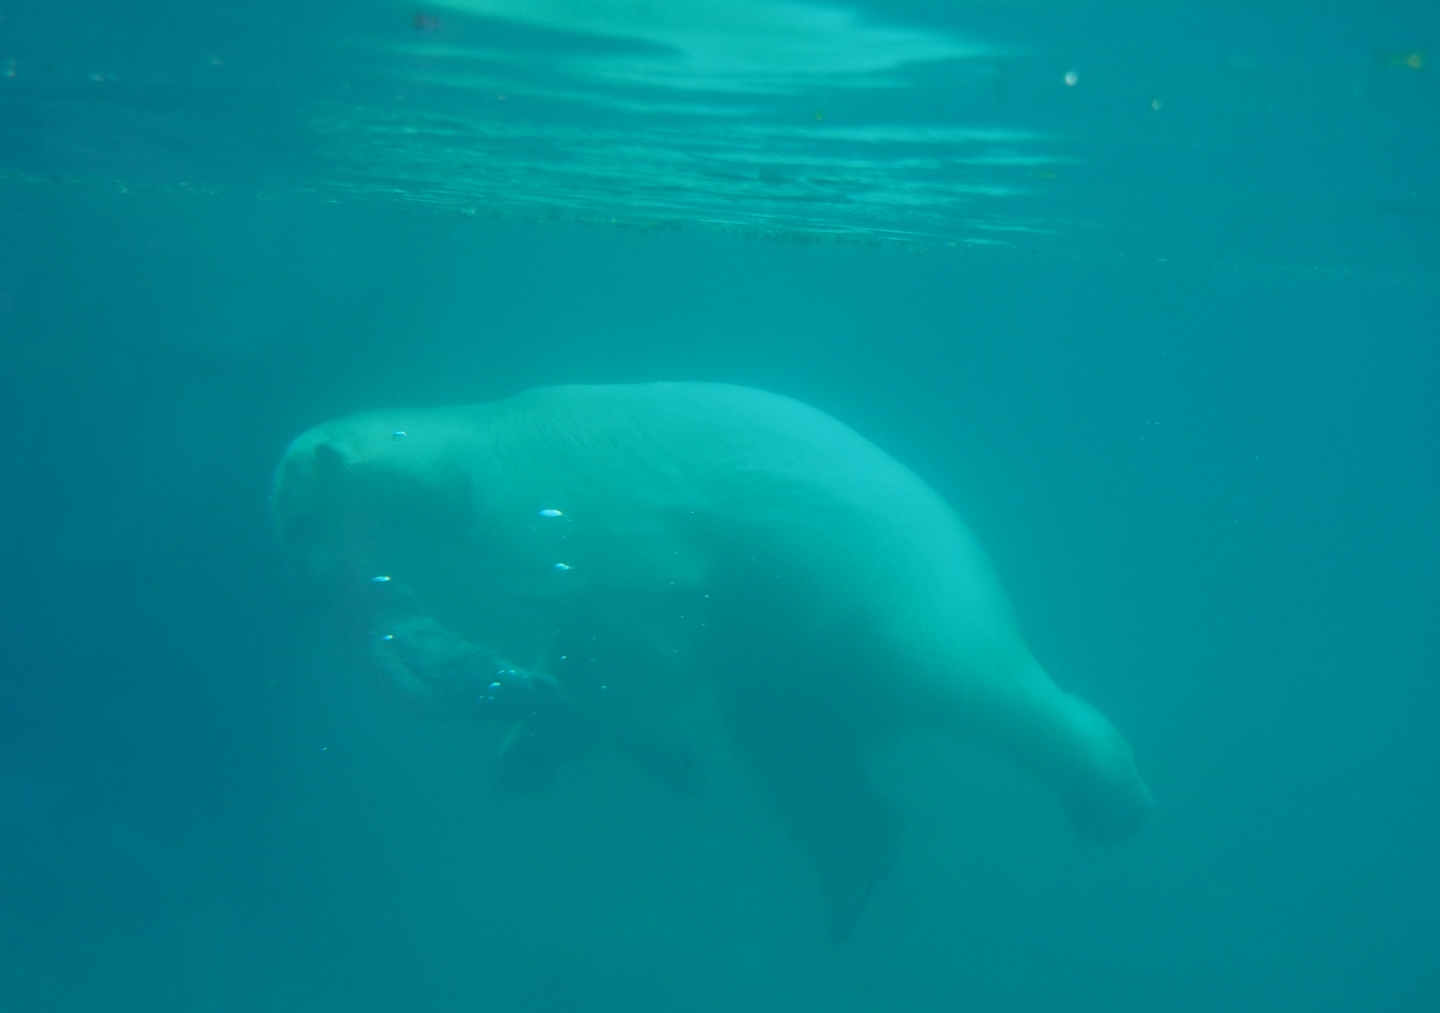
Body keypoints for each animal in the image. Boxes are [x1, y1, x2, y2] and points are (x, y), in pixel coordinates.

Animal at [271, 382, 1152, 938]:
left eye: (294, 518)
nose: (303, 591)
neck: (480, 442)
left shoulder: (569, 512)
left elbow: (639, 635)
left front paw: (662, 752)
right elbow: (574, 645)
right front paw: (526, 746)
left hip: (894, 595)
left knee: (980, 686)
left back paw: (1113, 797)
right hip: (796, 657)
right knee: (797, 757)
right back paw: (852, 873)